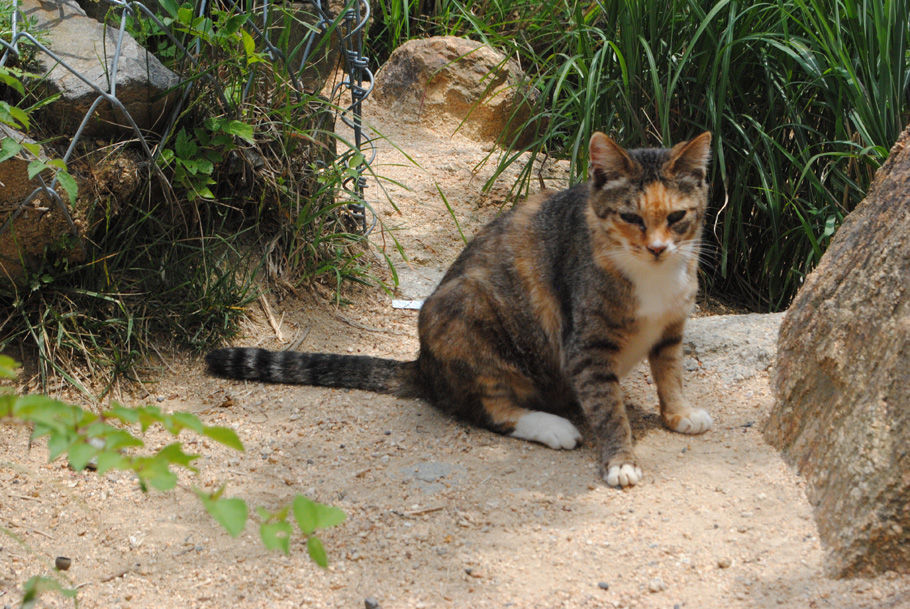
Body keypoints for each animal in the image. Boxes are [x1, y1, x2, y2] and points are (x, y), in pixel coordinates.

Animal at [210, 131, 716, 486]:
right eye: (631, 217)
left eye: (676, 217)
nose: (657, 248)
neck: (651, 277)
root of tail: (423, 364)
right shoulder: (588, 345)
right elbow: (609, 408)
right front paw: (620, 461)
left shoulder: (671, 327)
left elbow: (670, 372)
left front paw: (679, 414)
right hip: (465, 310)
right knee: (486, 408)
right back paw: (551, 426)